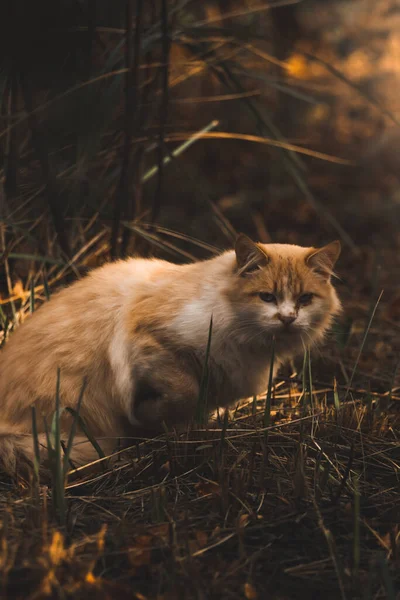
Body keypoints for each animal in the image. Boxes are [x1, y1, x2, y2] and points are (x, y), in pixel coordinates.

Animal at [0, 234, 340, 474]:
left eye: (305, 299)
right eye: (267, 297)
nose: (287, 318)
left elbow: (194, 414)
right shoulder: (150, 342)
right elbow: (183, 392)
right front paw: (149, 420)